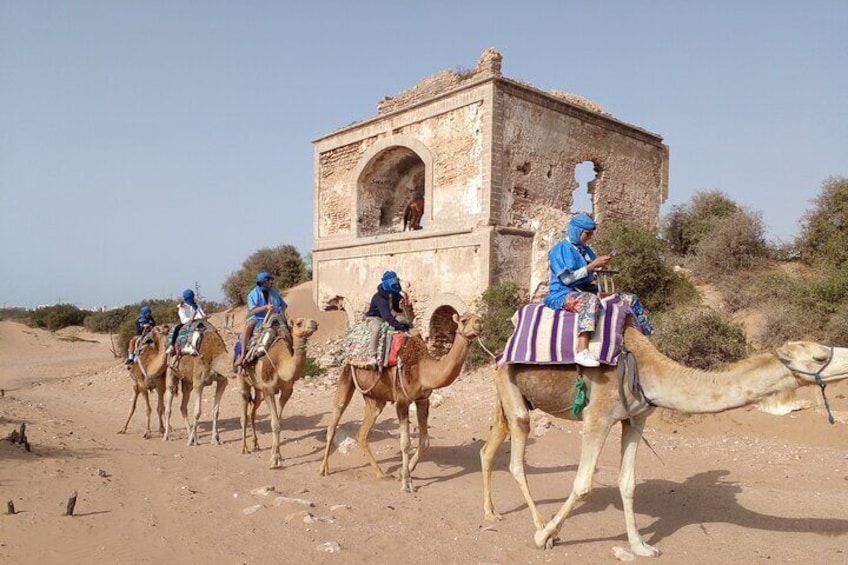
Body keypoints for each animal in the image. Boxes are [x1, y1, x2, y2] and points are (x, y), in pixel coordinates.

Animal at [237, 318, 320, 468]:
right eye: (299, 323)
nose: (314, 323)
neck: (283, 364)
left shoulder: (287, 391)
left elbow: (279, 423)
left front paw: (277, 456)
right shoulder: (269, 390)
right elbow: (274, 424)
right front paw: (274, 461)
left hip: (258, 390)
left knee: (252, 413)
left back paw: (255, 444)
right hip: (242, 380)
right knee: (244, 415)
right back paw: (244, 448)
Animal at [320, 310, 480, 492]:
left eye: (478, 317)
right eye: (463, 320)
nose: (479, 323)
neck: (423, 369)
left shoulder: (422, 400)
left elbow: (425, 441)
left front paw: (404, 472)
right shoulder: (402, 401)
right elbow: (405, 443)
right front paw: (406, 483)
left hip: (375, 398)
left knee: (362, 433)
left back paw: (381, 474)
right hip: (347, 374)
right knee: (335, 419)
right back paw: (324, 468)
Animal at [480, 320, 848, 556]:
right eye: (818, 356)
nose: (845, 355)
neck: (649, 371)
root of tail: (498, 351)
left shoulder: (636, 419)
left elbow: (627, 482)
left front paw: (641, 546)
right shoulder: (597, 417)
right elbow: (583, 484)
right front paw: (543, 536)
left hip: (511, 397)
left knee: (489, 447)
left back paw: (491, 513)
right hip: (510, 389)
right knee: (516, 458)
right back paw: (539, 524)